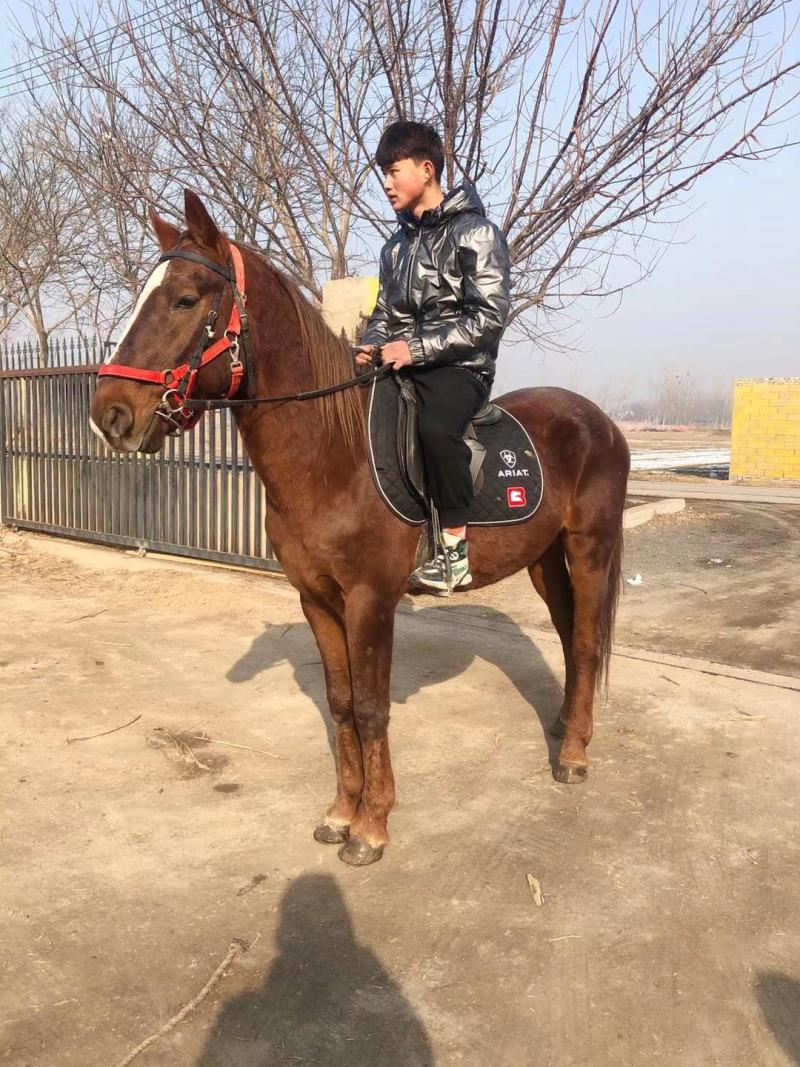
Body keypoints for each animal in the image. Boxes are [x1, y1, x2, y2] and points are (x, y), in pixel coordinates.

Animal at [90, 189, 630, 867]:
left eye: (185, 299)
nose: (109, 413)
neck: (333, 454)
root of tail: (600, 421)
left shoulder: (371, 600)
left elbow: (373, 709)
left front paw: (372, 826)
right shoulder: (317, 599)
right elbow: (342, 704)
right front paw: (340, 813)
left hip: (589, 549)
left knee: (584, 644)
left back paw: (574, 757)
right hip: (544, 560)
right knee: (567, 637)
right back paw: (563, 728)